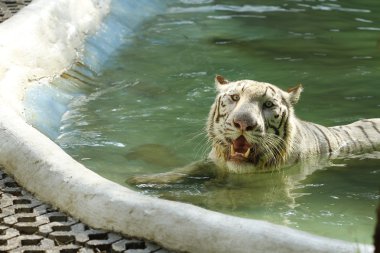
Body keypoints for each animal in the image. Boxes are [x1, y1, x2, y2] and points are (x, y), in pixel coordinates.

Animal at [128, 75, 380, 184]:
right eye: (234, 97)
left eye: (267, 105)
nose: (243, 123)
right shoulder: (211, 161)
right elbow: (185, 169)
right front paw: (142, 179)